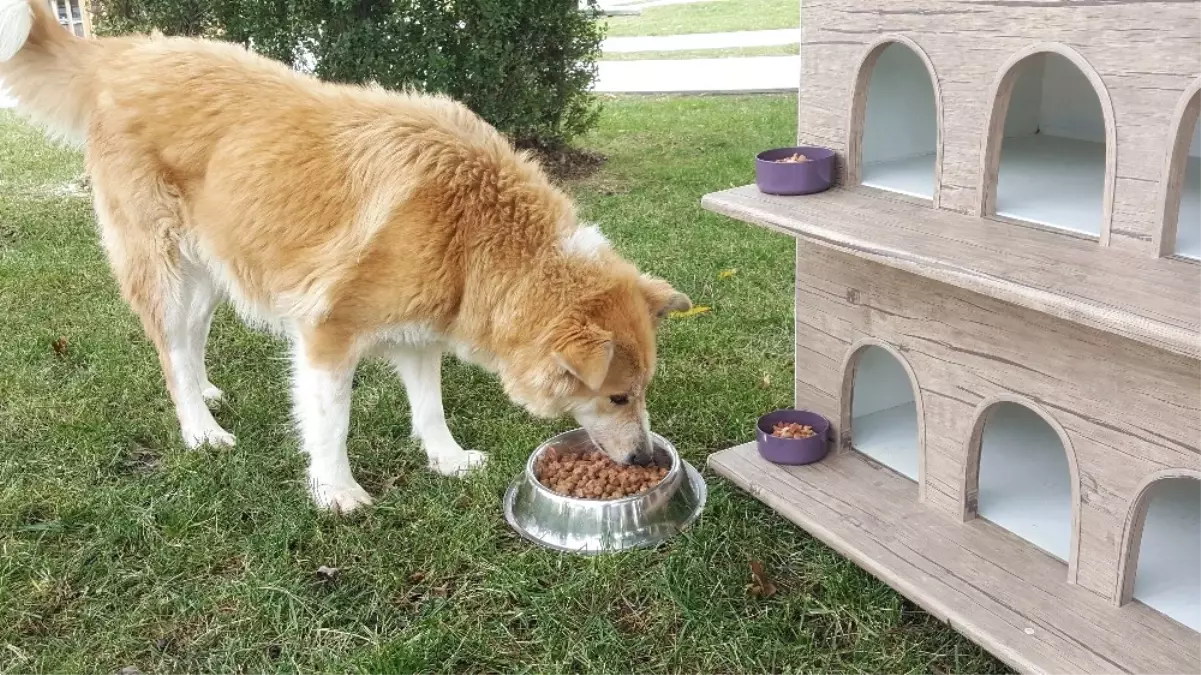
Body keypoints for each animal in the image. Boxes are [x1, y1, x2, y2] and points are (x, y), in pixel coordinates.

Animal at [0, 1, 691, 509]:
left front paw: (446, 459)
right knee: (168, 349)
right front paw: (336, 493)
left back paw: (206, 391)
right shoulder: (327, 334)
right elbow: (331, 423)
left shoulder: (419, 334)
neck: (476, 233)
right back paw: (200, 430)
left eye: (640, 393)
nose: (645, 458)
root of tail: (119, 56)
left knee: (188, 341)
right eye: (619, 398)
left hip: (213, 268)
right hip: (165, 268)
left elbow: (430, 407)